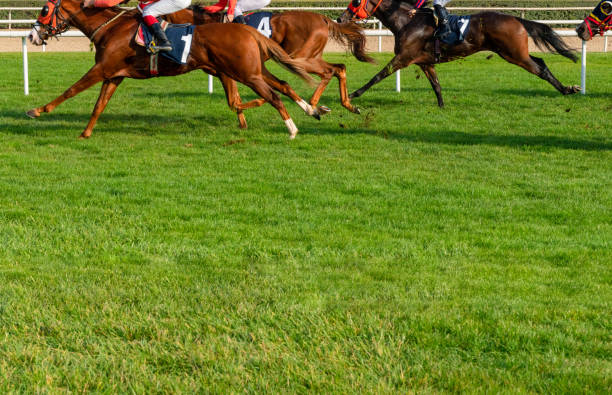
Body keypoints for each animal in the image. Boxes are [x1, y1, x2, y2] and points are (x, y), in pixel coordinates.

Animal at [27, 0, 326, 139]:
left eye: (44, 10)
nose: (31, 36)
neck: (110, 28)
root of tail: (246, 30)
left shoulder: (102, 69)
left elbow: (71, 90)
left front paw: (38, 110)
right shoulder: (114, 75)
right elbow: (99, 105)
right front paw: (86, 133)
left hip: (246, 72)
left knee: (273, 95)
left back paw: (292, 128)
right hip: (252, 69)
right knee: (284, 85)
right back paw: (312, 110)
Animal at [164, 5, 372, 127]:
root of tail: (323, 18)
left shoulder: (226, 72)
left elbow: (234, 101)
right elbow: (237, 99)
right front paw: (243, 124)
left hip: (300, 58)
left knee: (329, 71)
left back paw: (314, 105)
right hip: (310, 56)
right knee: (340, 68)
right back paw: (347, 105)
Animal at [338, 0, 580, 108]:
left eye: (356, 1)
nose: (340, 18)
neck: (407, 22)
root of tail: (515, 18)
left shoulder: (403, 58)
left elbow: (377, 76)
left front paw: (353, 94)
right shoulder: (425, 62)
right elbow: (436, 85)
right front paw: (442, 106)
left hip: (514, 54)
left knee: (540, 69)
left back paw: (567, 89)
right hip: (513, 53)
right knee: (541, 62)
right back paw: (568, 88)